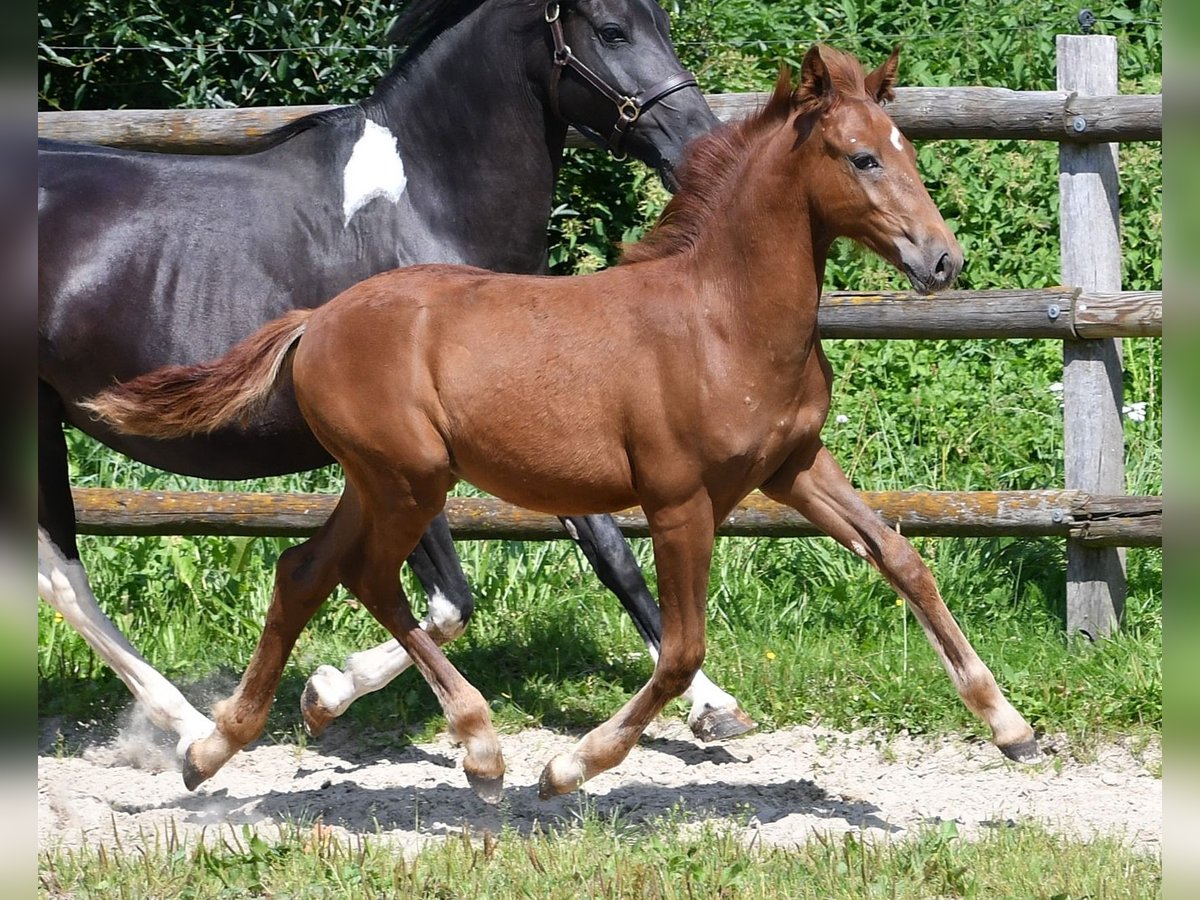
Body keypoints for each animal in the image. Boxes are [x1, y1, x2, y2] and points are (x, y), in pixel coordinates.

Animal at [37, 0, 753, 777]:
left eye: (663, 24)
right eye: (614, 30)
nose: (704, 149)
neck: (427, 211)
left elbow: (610, 553)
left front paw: (715, 706)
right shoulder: (407, 456)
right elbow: (448, 603)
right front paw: (328, 693)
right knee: (60, 575)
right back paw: (192, 728)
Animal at [87, 45, 1041, 801]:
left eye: (905, 149)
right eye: (861, 158)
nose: (942, 260)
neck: (723, 318)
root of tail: (315, 319)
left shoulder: (795, 466)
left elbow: (904, 560)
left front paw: (1011, 726)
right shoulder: (680, 501)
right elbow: (680, 650)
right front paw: (570, 768)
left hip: (377, 480)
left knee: (305, 573)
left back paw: (217, 746)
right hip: (409, 480)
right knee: (369, 580)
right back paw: (480, 751)